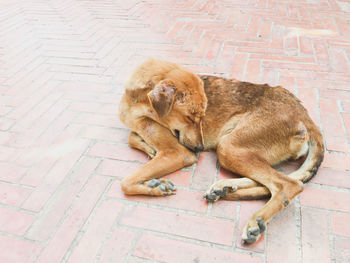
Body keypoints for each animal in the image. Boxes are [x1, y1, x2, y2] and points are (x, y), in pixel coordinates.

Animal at [119, 58, 324, 244]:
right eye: (189, 118)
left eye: (201, 117)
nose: (200, 149)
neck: (137, 101)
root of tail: (303, 113)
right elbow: (131, 138)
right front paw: (149, 153)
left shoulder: (177, 153)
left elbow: (125, 182)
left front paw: (153, 186)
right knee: (274, 181)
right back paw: (224, 188)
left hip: (227, 147)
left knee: (290, 184)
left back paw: (255, 222)